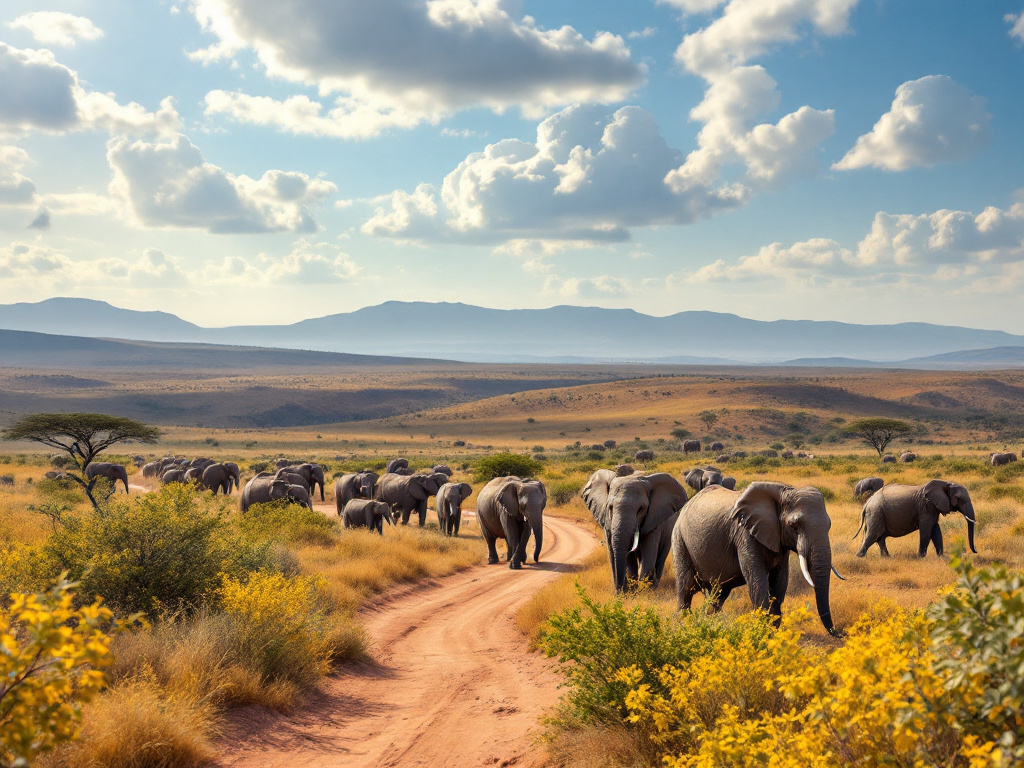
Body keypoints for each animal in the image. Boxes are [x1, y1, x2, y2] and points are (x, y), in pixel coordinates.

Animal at [672, 482, 844, 635]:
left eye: (829, 525)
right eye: (794, 525)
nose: (839, 634)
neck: (782, 492)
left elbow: (780, 580)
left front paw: (772, 633)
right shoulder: (744, 533)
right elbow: (757, 579)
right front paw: (762, 633)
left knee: (717, 594)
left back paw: (709, 623)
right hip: (679, 538)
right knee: (686, 586)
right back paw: (683, 626)